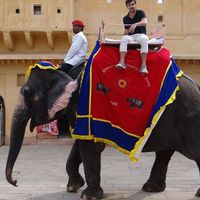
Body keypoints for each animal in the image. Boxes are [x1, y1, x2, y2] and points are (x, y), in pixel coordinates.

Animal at [4, 63, 200, 199]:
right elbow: (79, 146)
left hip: (189, 118)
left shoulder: (83, 105)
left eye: (27, 93)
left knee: (193, 154)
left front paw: (87, 196)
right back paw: (151, 188)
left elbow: (89, 147)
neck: (63, 70)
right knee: (164, 153)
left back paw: (195, 193)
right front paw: (73, 187)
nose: (16, 182)